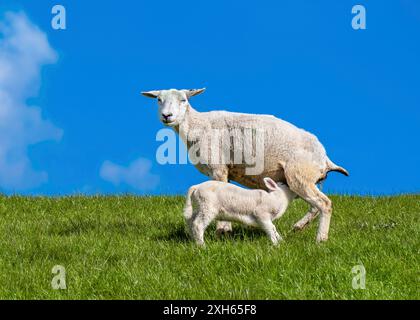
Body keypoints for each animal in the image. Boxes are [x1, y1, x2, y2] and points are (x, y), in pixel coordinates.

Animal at [141, 87, 348, 242]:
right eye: (158, 99)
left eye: (183, 100)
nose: (167, 116)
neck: (197, 125)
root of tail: (324, 156)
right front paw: (224, 229)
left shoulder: (218, 168)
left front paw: (222, 230)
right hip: (305, 179)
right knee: (315, 206)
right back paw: (299, 227)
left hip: (299, 174)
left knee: (324, 204)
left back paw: (320, 239)